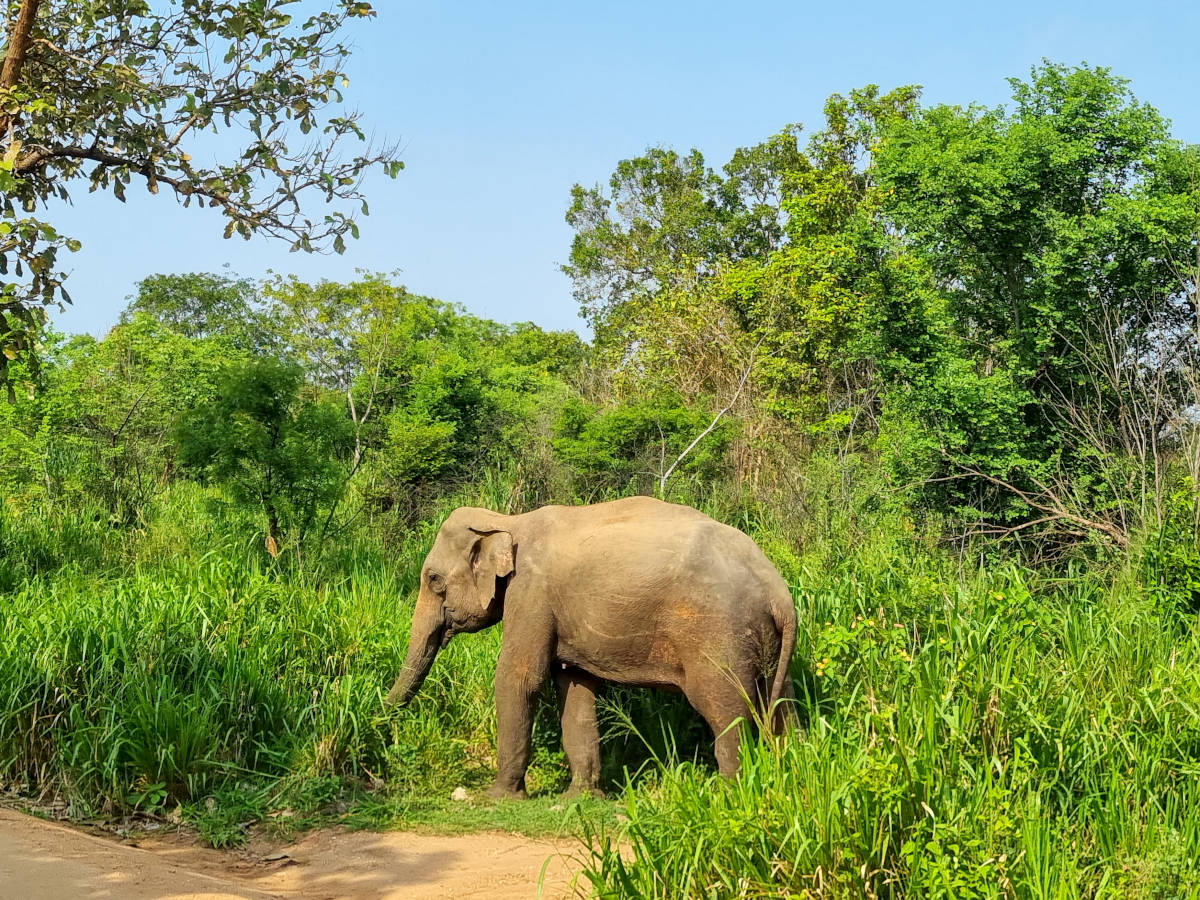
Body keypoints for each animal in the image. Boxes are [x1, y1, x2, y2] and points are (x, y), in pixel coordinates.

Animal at [385, 495, 797, 799]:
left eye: (434, 579)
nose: (382, 722)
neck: (509, 521)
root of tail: (779, 592)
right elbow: (576, 688)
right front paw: (579, 799)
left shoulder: (531, 593)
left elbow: (520, 678)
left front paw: (496, 798)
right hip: (768, 645)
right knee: (782, 708)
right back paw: (788, 778)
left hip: (717, 636)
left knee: (725, 712)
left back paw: (730, 795)